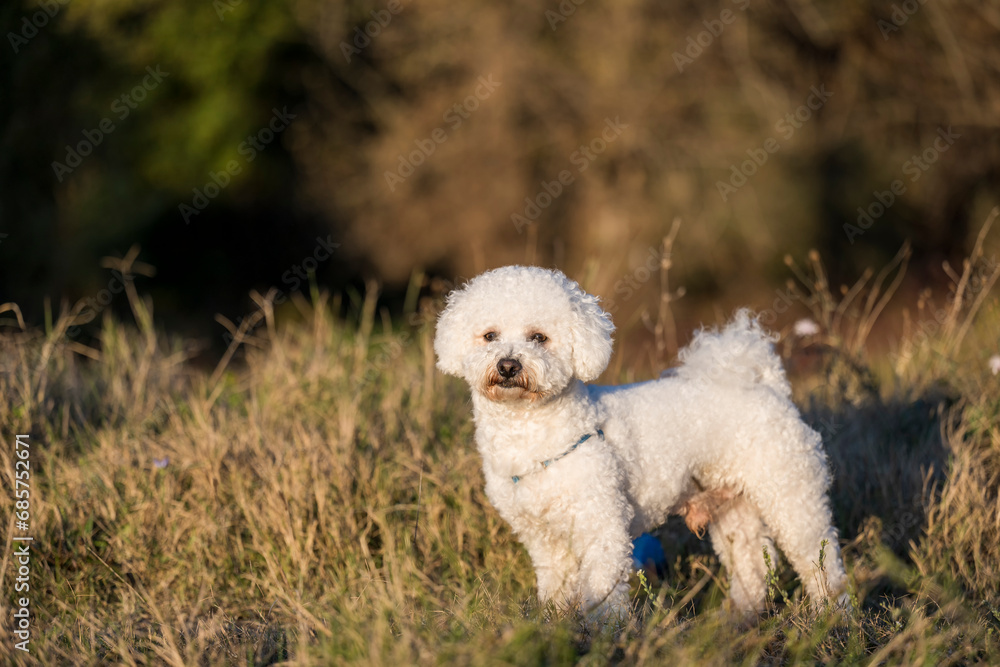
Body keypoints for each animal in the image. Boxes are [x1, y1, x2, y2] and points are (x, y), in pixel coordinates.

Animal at [434, 266, 848, 620]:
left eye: (539, 337)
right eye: (489, 336)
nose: (508, 366)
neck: (533, 437)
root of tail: (767, 386)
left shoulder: (602, 531)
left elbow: (602, 599)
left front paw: (606, 640)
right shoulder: (544, 542)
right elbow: (556, 591)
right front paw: (558, 627)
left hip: (792, 498)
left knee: (822, 560)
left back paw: (833, 617)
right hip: (733, 509)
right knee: (753, 565)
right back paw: (739, 622)